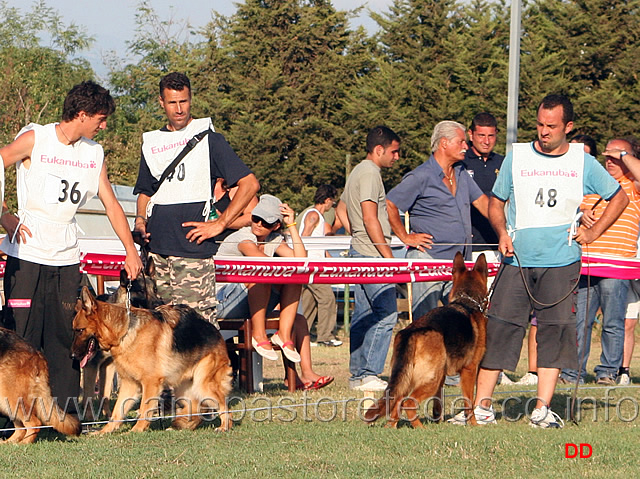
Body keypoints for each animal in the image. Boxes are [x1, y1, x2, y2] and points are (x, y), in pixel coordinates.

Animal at [71, 286, 231, 436]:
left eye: (79, 330)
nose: (72, 356)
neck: (125, 331)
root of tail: (214, 329)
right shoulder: (130, 384)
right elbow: (117, 410)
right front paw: (105, 431)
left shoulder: (150, 382)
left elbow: (144, 408)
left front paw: (136, 430)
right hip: (182, 388)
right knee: (196, 406)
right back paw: (182, 424)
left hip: (203, 384)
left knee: (222, 405)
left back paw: (224, 426)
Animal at [364, 253, 484, 430]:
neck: (467, 301)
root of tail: (410, 332)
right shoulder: (470, 369)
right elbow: (469, 402)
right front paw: (473, 424)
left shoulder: (443, 376)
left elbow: (438, 402)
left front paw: (438, 419)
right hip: (430, 379)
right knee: (408, 403)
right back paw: (420, 428)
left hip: (409, 378)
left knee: (397, 401)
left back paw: (392, 426)